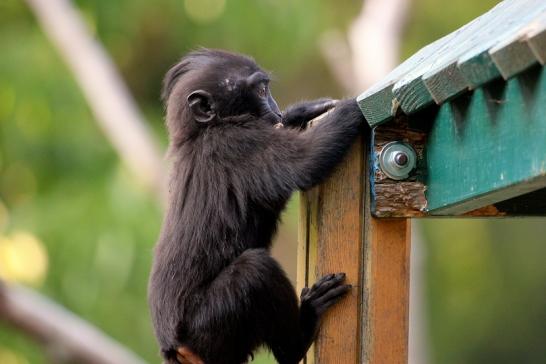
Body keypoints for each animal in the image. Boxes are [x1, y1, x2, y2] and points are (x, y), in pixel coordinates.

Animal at [147, 49, 364, 364]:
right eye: (261, 91)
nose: (276, 110)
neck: (201, 132)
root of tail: (176, 349)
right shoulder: (239, 143)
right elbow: (307, 161)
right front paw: (354, 107)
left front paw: (300, 112)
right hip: (208, 328)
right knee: (255, 271)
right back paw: (301, 332)